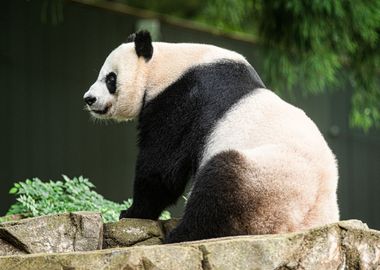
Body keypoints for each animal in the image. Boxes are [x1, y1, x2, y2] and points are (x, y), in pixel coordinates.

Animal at [82, 30, 338, 244]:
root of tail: (310, 222)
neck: (166, 66)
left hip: (268, 183)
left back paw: (179, 235)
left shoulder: (183, 101)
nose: (89, 99)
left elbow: (161, 167)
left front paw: (132, 212)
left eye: (110, 79)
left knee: (219, 185)